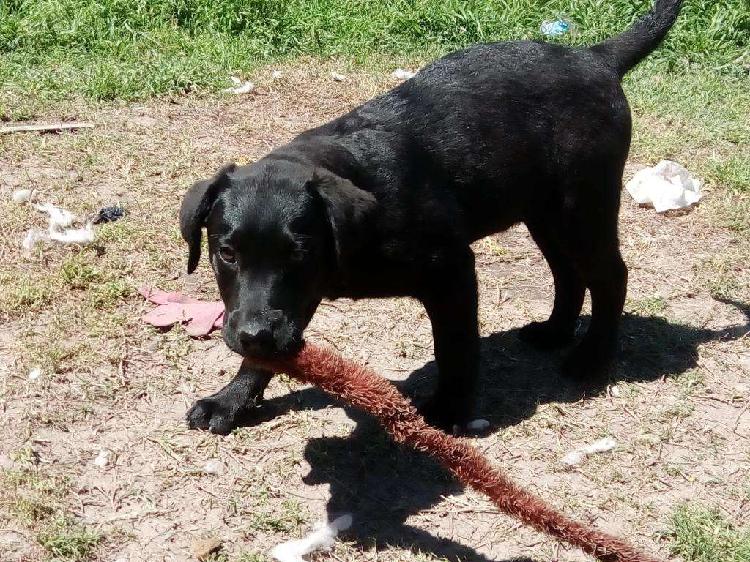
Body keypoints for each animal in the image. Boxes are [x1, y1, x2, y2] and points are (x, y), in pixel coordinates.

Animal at [181, 0, 680, 430]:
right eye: (226, 254)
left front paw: (450, 409)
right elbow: (270, 332)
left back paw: (591, 357)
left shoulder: (450, 270)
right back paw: (555, 331)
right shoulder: (292, 297)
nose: (254, 334)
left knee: (610, 275)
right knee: (567, 272)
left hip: (583, 206)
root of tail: (596, 58)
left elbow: (455, 347)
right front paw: (232, 398)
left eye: (298, 253)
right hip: (545, 211)